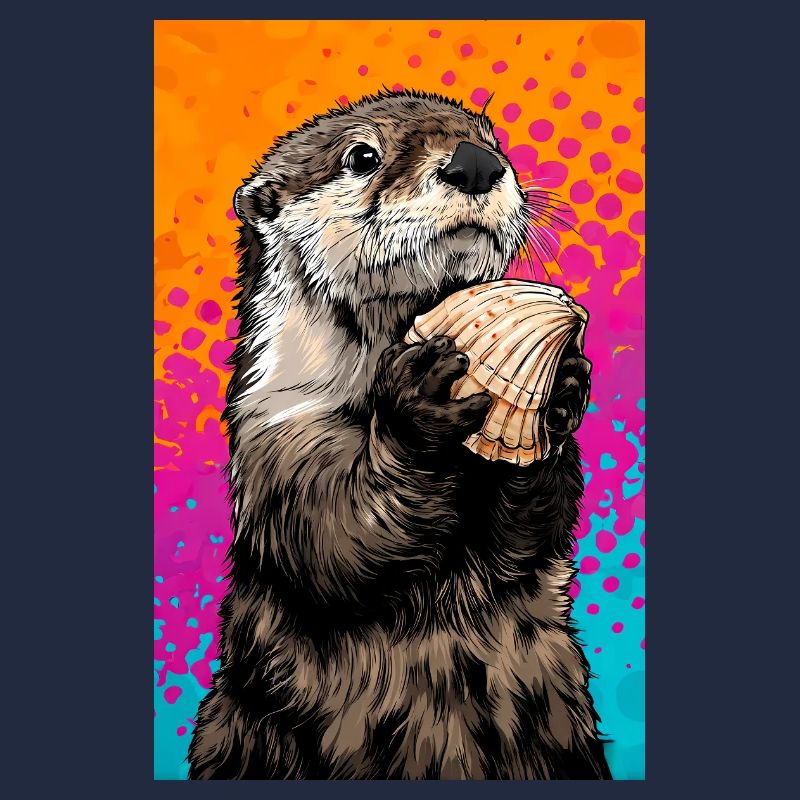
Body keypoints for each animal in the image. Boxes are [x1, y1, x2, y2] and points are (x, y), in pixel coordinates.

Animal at [188, 90, 611, 780]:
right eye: (362, 156)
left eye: (492, 138)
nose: (474, 163)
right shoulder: (275, 433)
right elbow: (333, 534)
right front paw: (419, 404)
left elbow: (522, 544)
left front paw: (559, 393)